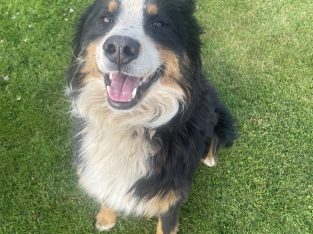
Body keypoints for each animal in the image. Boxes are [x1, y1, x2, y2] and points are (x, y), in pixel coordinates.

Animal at [67, 0, 235, 232]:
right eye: (105, 19)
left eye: (158, 24)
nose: (120, 48)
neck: (127, 124)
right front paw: (106, 219)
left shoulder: (170, 198)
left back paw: (209, 157)